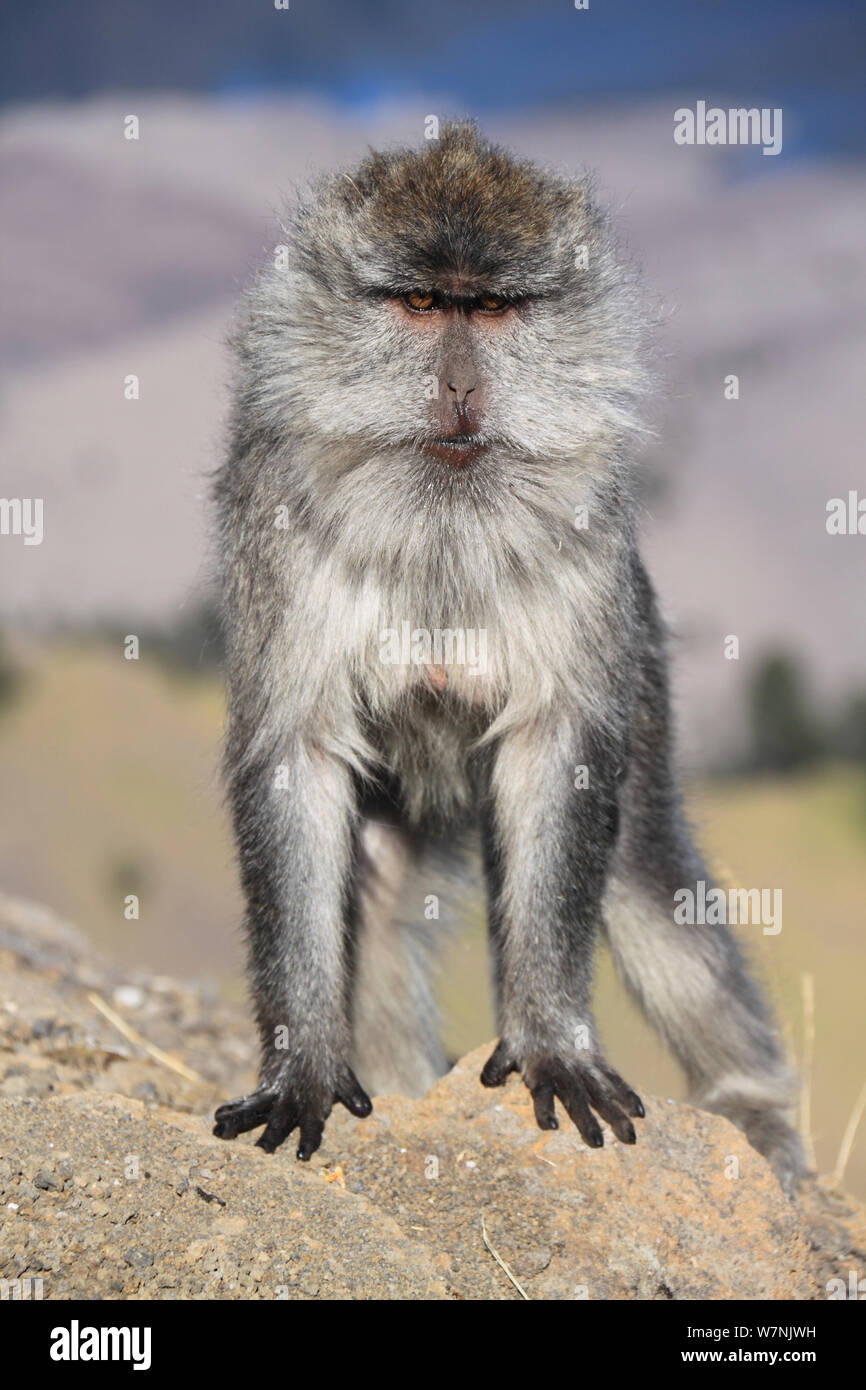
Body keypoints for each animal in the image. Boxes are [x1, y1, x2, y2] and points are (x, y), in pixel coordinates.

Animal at [212, 122, 805, 1192]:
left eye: (491, 308)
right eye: (419, 303)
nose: (458, 388)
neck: (443, 522)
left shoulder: (589, 552)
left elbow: (558, 752)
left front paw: (551, 1044)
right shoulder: (279, 530)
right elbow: (297, 758)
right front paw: (304, 1067)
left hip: (641, 668)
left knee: (643, 869)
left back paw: (759, 1119)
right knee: (380, 893)